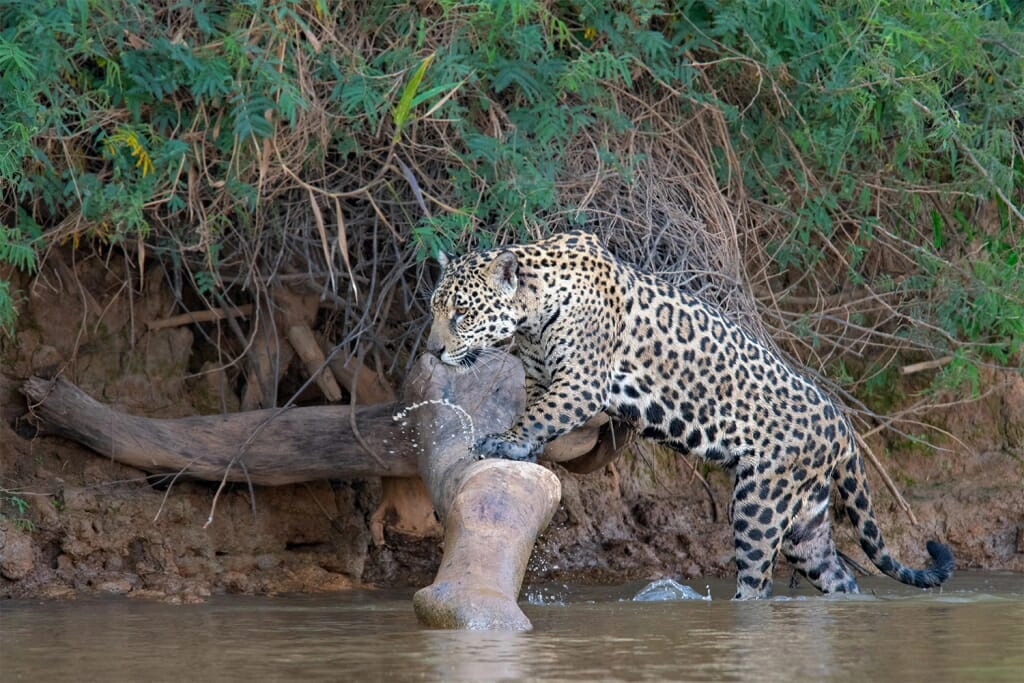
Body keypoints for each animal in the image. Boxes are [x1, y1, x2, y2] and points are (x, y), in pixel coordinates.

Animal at [426, 230, 954, 599]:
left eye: (461, 314)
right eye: (434, 308)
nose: (432, 350)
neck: (532, 314)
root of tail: (840, 421)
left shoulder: (581, 381)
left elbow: (542, 415)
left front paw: (504, 441)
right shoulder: (541, 378)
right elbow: (538, 412)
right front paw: (526, 450)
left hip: (761, 503)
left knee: (757, 579)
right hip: (806, 519)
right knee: (837, 575)